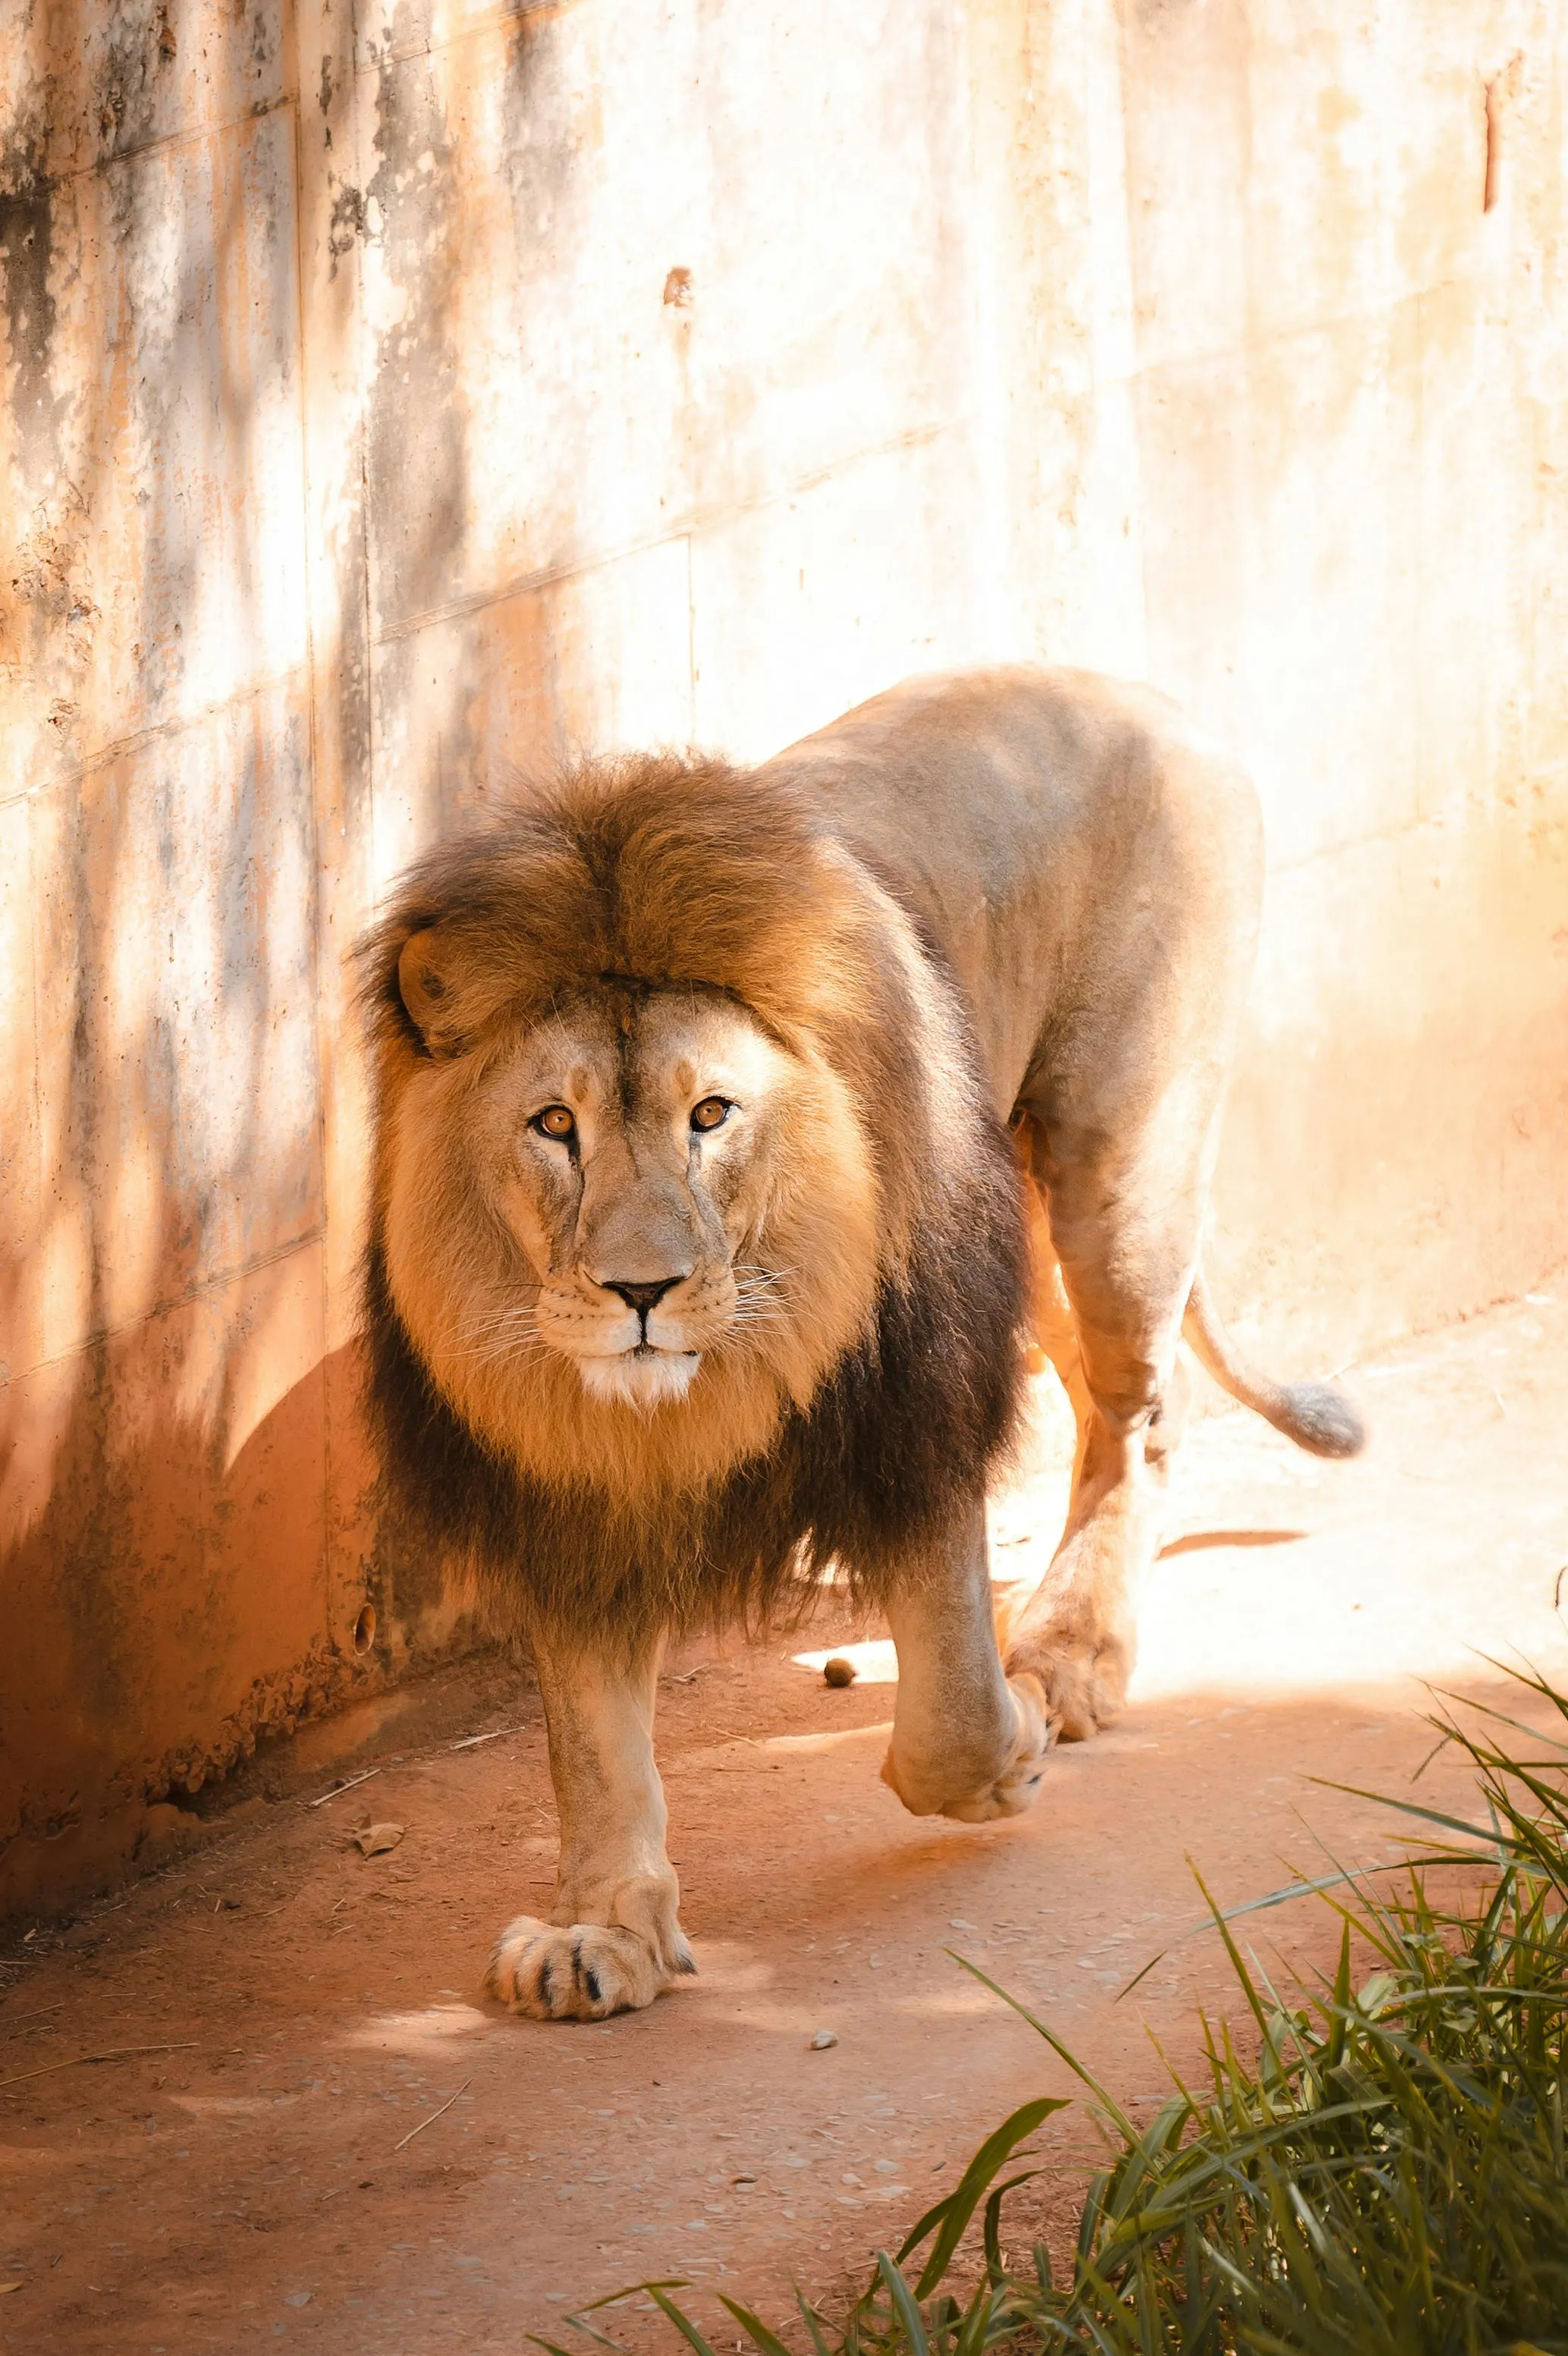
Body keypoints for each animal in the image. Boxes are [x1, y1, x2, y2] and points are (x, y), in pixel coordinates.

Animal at [360, 666, 1364, 2021]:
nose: (639, 1288)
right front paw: (600, 1934)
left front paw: (1013, 1745)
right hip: (1033, 1200)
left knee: (1138, 1418)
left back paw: (1069, 1653)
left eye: (710, 1114)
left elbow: (945, 1710)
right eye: (553, 1125)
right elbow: (593, 1749)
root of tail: (1138, 694)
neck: (711, 1383)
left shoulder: (914, 1410)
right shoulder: (571, 1497)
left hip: (1115, 1153)